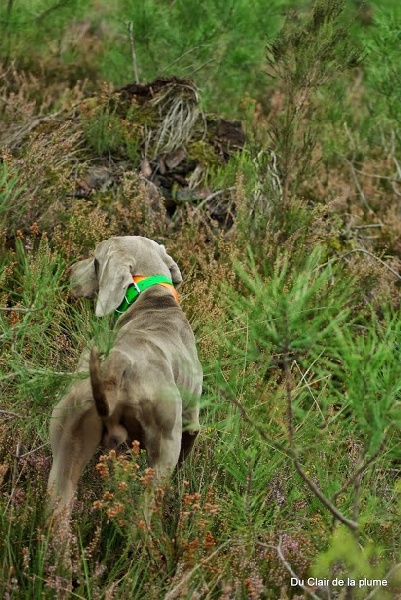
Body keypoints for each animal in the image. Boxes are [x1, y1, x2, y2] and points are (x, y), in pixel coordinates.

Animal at [47, 236, 202, 523]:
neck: (153, 298)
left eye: (95, 260)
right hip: (164, 451)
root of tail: (121, 360)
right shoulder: (191, 421)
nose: (69, 270)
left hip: (68, 438)